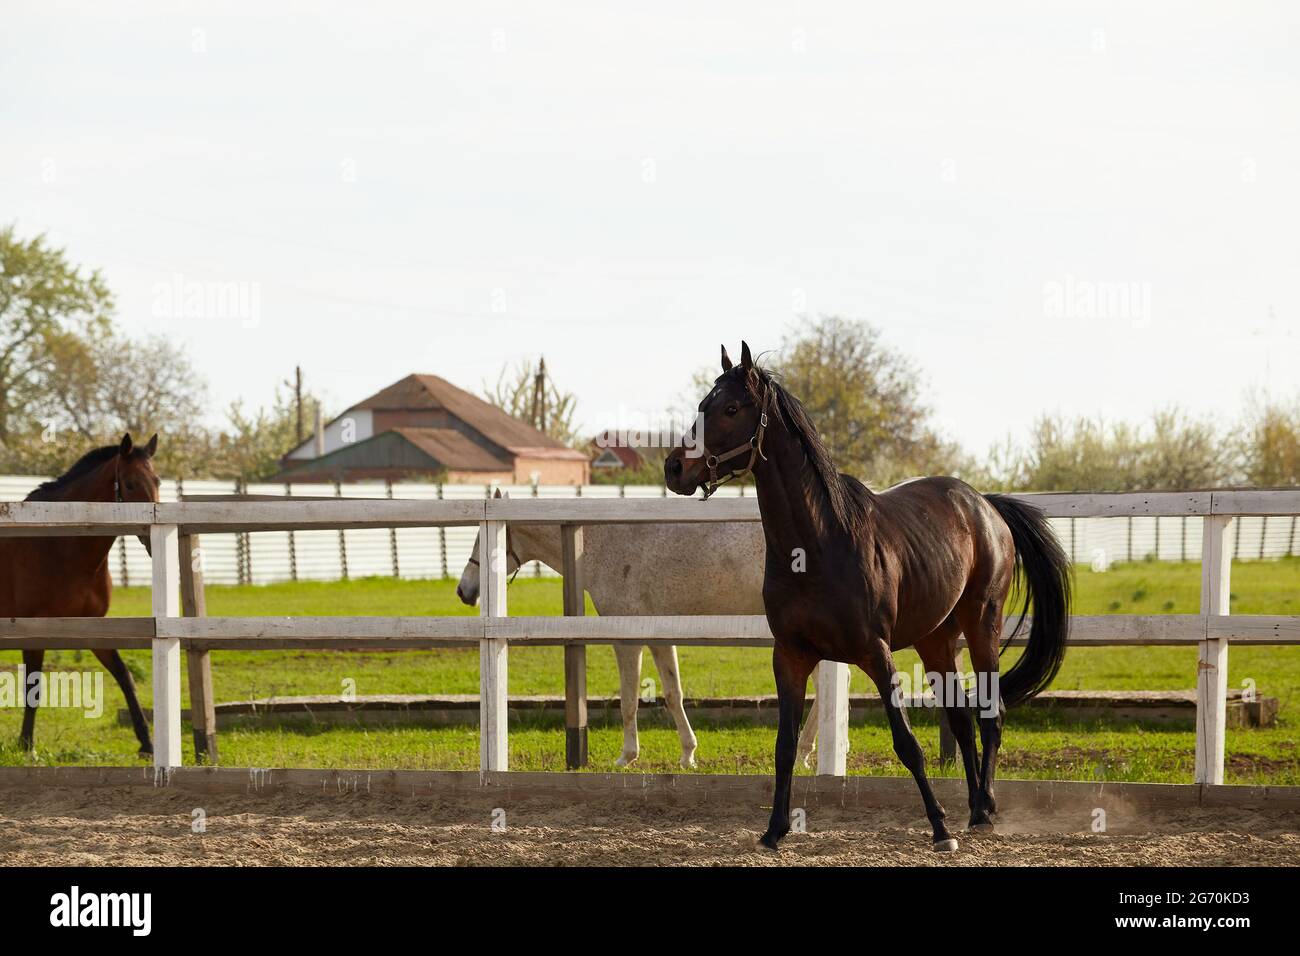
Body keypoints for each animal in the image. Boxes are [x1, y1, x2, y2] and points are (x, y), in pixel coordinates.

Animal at [0, 434, 162, 756]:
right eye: (130, 484)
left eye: (157, 481)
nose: (152, 538)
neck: (60, 546)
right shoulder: (33, 631)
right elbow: (33, 687)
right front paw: (27, 744)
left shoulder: (92, 627)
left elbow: (125, 677)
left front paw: (147, 743)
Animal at [455, 493, 830, 769]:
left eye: (484, 539)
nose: (464, 591)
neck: (599, 544)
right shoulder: (660, 637)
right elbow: (673, 693)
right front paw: (688, 754)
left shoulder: (627, 640)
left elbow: (629, 700)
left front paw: (627, 756)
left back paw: (805, 752)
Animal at [665, 343, 1071, 852]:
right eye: (704, 404)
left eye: (732, 408)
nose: (674, 467)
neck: (817, 545)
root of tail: (985, 505)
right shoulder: (790, 656)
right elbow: (784, 746)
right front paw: (774, 831)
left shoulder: (876, 654)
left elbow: (908, 744)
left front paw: (939, 829)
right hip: (935, 640)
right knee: (960, 719)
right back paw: (976, 806)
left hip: (982, 627)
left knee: (989, 717)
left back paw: (982, 813)